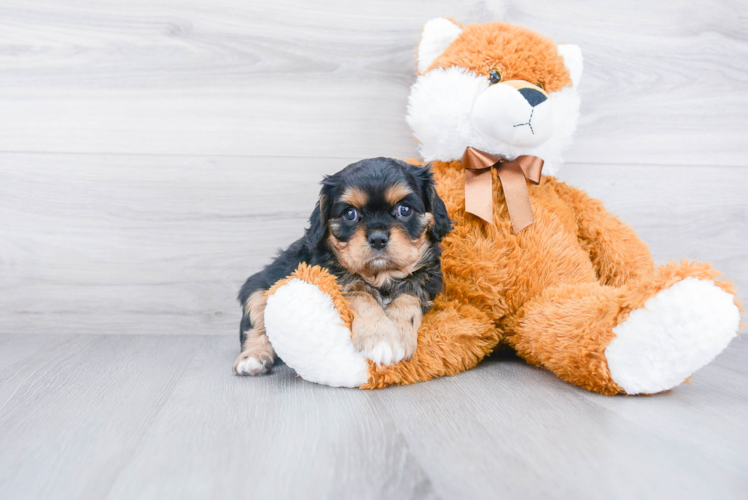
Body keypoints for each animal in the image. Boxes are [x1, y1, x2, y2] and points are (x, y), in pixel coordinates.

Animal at [234, 156, 450, 376]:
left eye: (404, 210)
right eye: (350, 214)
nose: (378, 238)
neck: (381, 275)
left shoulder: (426, 280)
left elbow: (407, 299)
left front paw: (399, 332)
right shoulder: (332, 278)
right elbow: (361, 296)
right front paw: (379, 337)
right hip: (259, 287)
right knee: (256, 325)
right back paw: (253, 359)